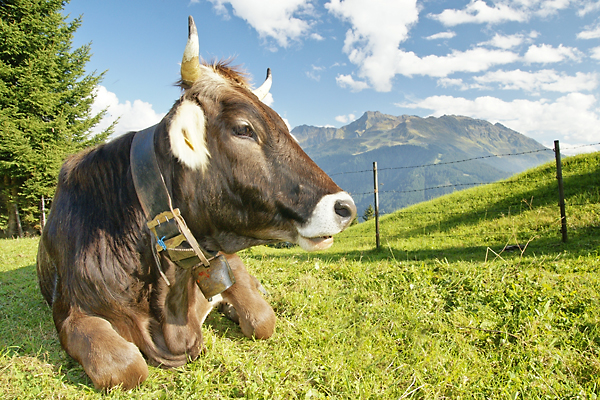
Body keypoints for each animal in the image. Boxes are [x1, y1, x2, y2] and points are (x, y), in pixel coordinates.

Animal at [35, 16, 356, 390]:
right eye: (244, 129)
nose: (345, 207)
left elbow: (262, 318)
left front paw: (235, 307)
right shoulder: (70, 312)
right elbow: (126, 368)